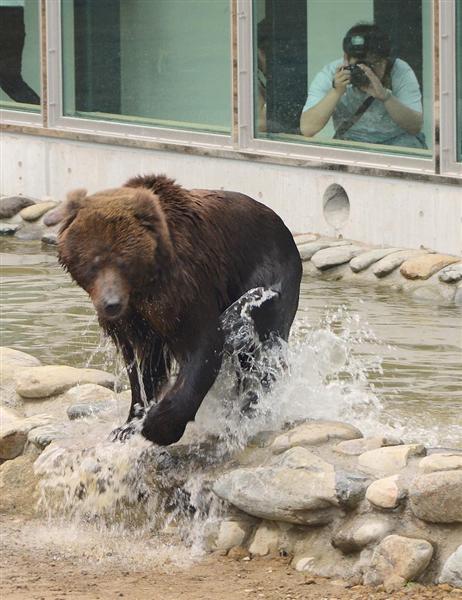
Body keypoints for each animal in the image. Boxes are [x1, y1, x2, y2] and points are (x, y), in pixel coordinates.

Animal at [57, 173, 304, 446]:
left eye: (123, 261)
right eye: (93, 263)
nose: (111, 303)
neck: (145, 286)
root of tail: (284, 227)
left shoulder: (185, 287)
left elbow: (203, 344)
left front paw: (156, 425)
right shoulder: (134, 321)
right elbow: (140, 367)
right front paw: (127, 425)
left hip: (269, 271)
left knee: (261, 346)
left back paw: (248, 410)